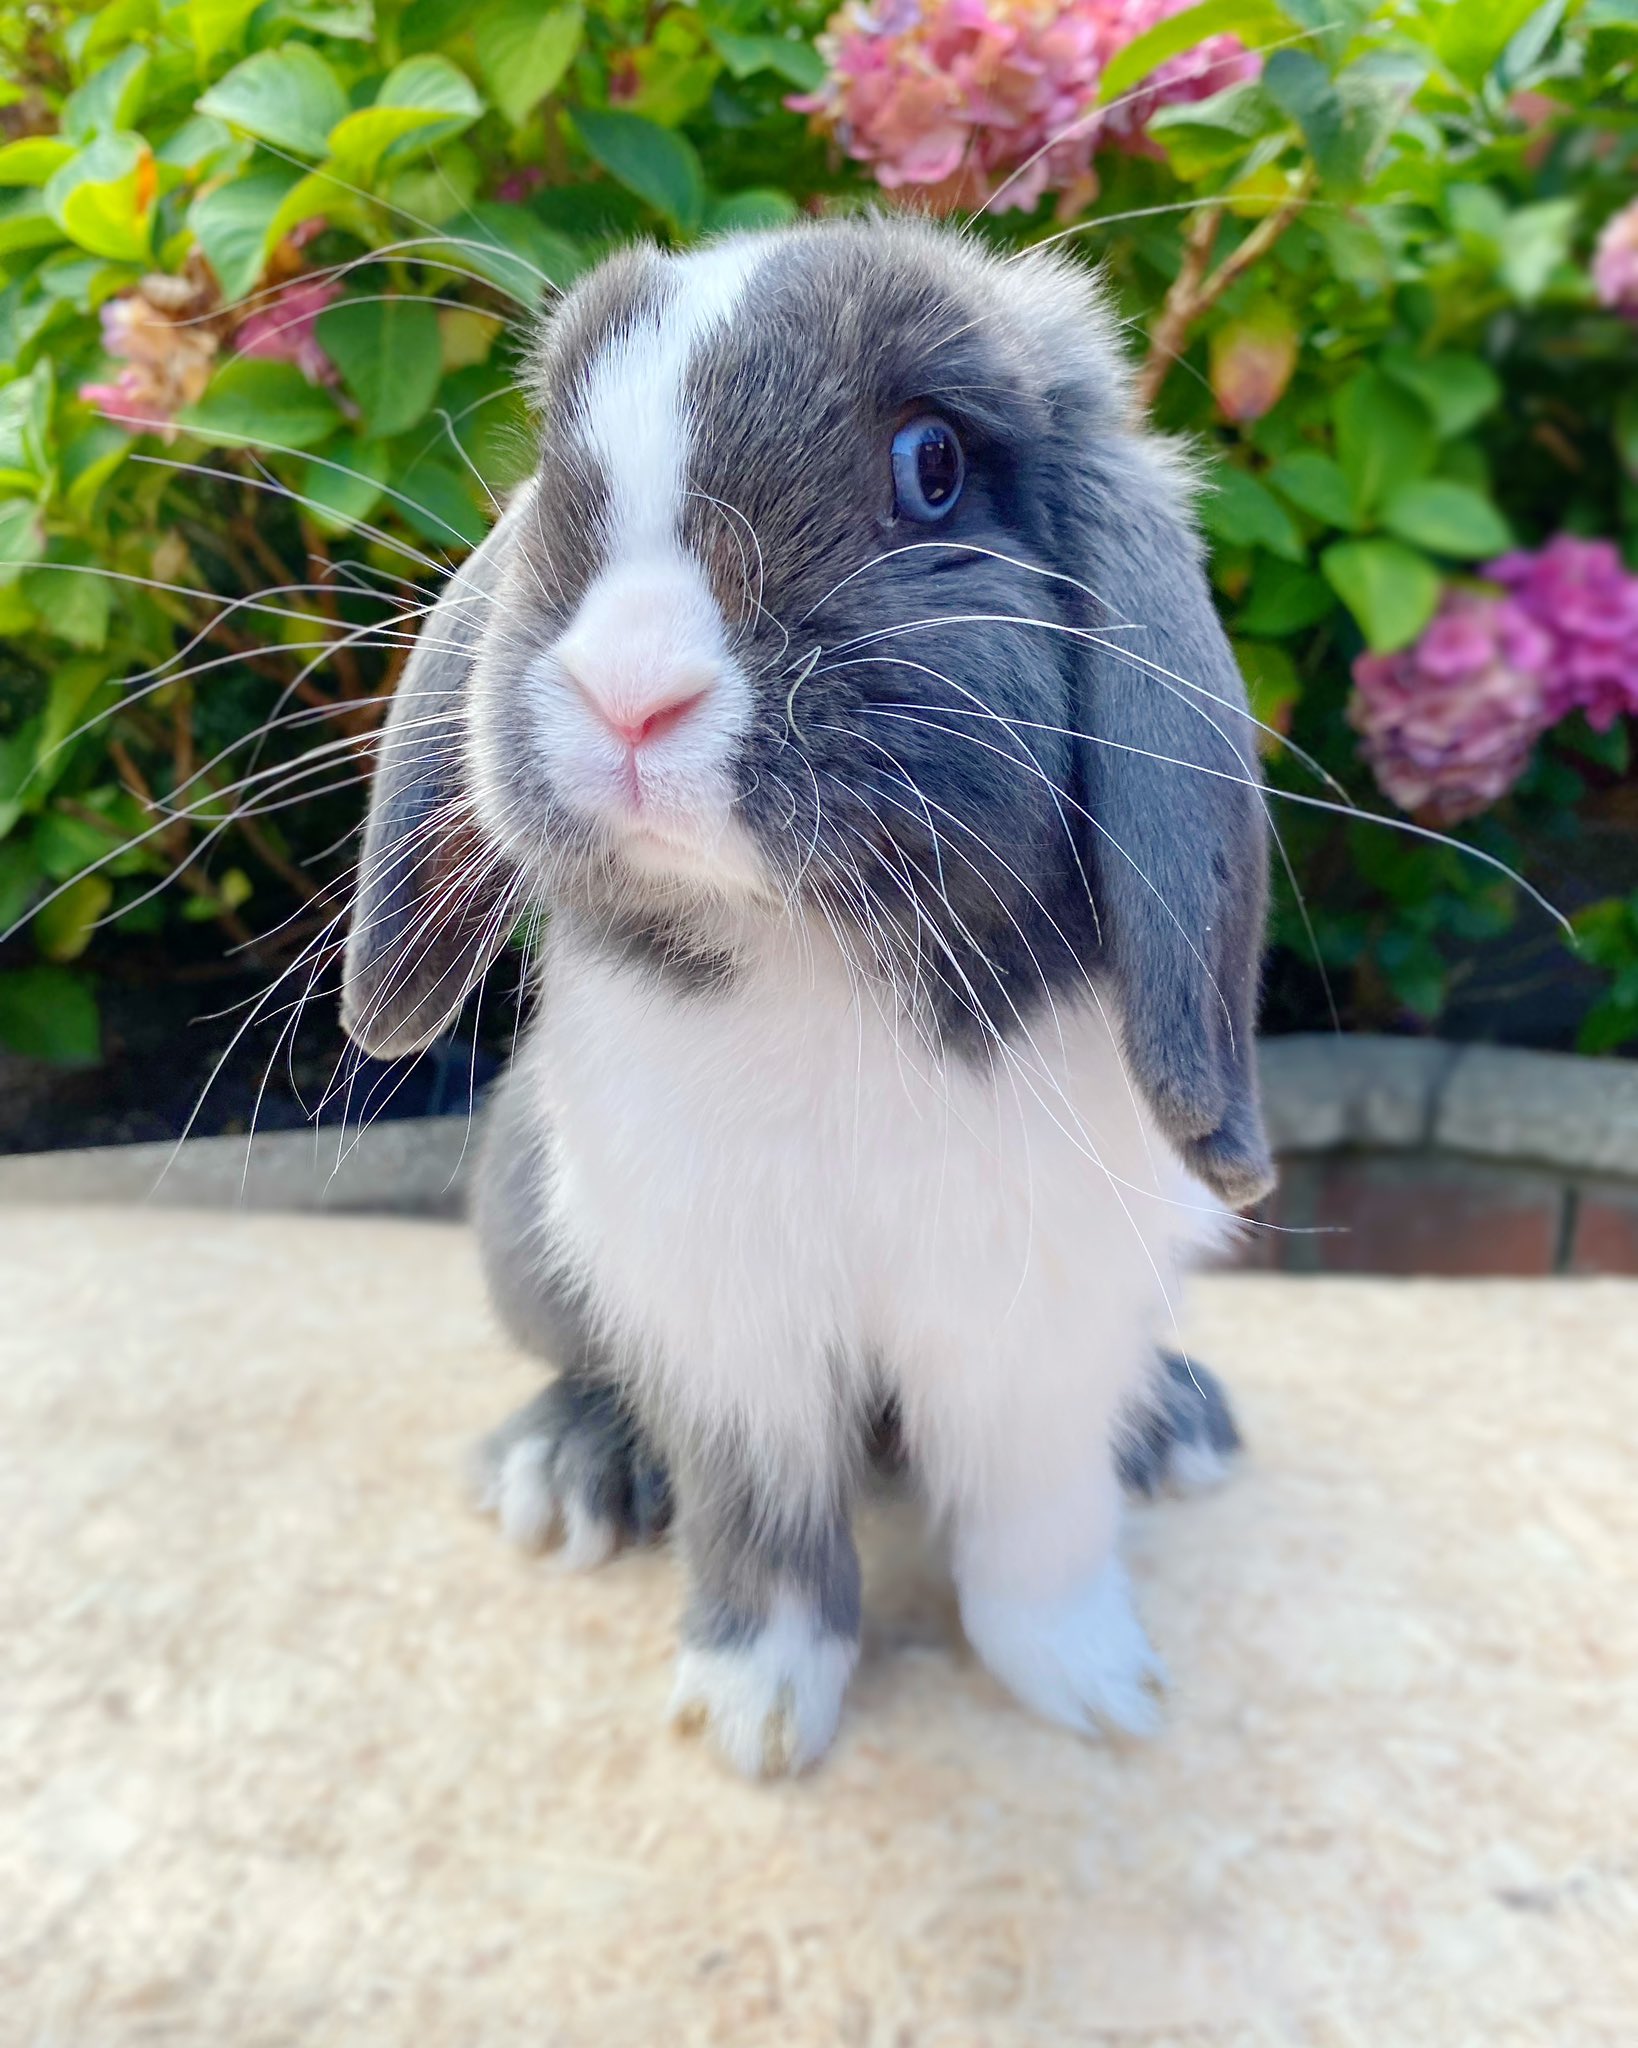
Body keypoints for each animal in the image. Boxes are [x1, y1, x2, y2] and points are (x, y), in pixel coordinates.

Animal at [339, 220, 1269, 1777]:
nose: (627, 689)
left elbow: (1035, 1523)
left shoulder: (1038, 1312)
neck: (815, 951)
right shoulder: (718, 1312)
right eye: (555, 453)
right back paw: (563, 1468)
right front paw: (754, 1716)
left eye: (931, 463)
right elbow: (759, 1522)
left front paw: (1092, 1689)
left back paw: (1174, 1427)